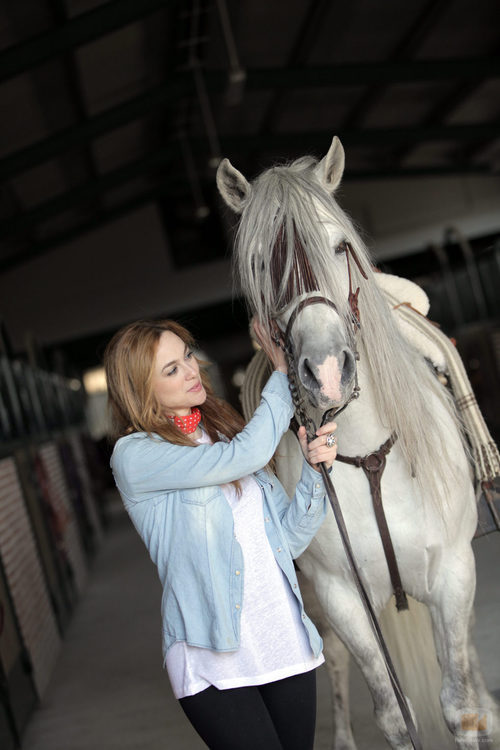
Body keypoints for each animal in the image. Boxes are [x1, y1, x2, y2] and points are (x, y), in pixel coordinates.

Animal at [216, 136, 499, 750]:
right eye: (261, 264)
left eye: (340, 246)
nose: (326, 371)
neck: (366, 454)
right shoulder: (342, 597)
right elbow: (395, 714)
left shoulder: (453, 574)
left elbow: (461, 705)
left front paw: (480, 717)